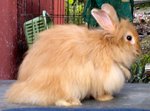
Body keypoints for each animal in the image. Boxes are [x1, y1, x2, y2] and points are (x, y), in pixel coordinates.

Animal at [5, 3, 141, 106]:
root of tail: (22, 86)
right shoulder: (103, 77)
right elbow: (100, 91)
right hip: (62, 84)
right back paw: (72, 102)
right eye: (129, 38)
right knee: (56, 98)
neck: (109, 46)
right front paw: (106, 98)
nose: (139, 51)